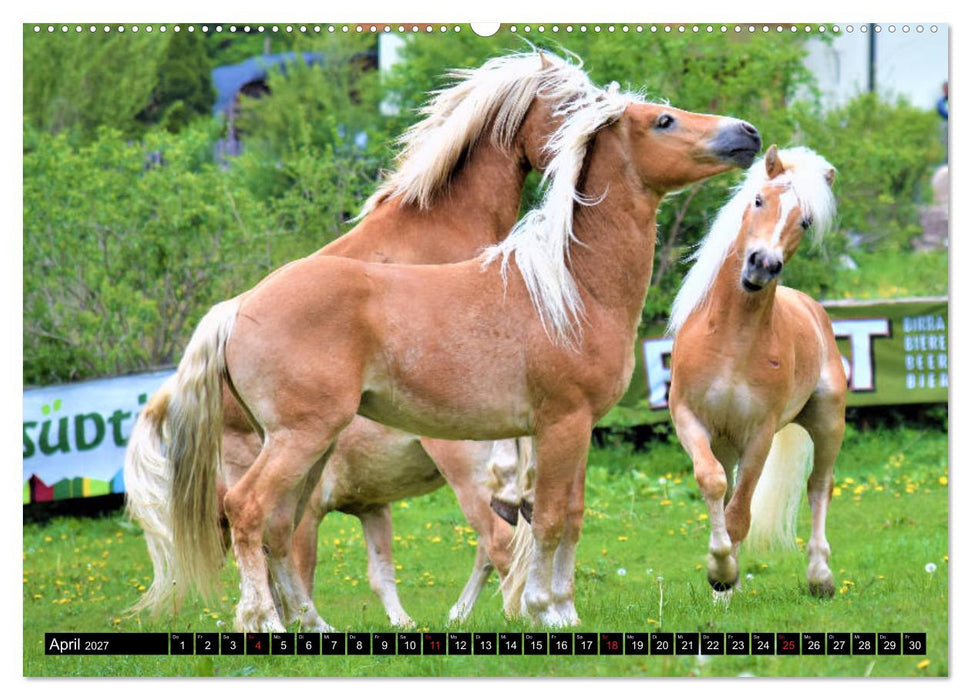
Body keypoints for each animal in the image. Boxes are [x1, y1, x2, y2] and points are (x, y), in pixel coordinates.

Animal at [163, 80, 761, 632]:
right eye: (663, 121)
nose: (748, 134)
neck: (572, 289)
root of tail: (238, 307)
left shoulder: (580, 429)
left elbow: (571, 516)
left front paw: (565, 611)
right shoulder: (561, 424)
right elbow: (546, 520)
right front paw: (542, 610)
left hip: (311, 446)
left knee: (279, 526)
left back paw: (313, 626)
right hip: (299, 439)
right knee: (247, 510)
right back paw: (263, 622)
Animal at [667, 145, 843, 599]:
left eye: (805, 221)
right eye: (759, 200)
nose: (763, 264)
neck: (733, 341)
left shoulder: (760, 433)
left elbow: (740, 512)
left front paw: (723, 575)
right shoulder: (691, 420)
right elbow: (714, 484)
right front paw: (722, 578)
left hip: (828, 422)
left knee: (819, 487)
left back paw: (820, 576)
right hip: (726, 442)